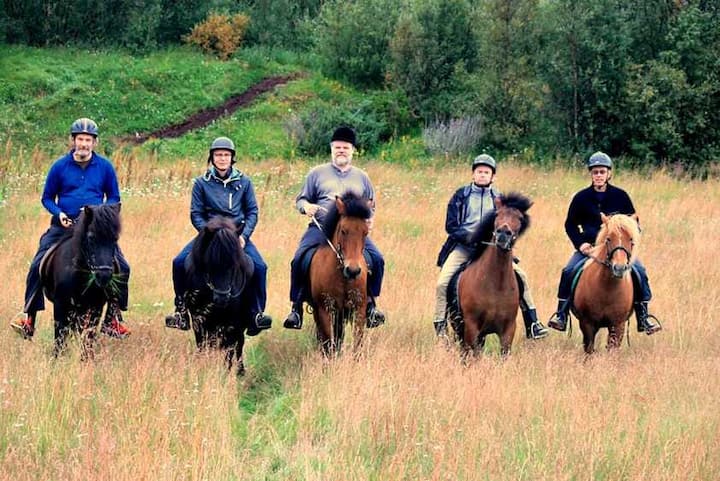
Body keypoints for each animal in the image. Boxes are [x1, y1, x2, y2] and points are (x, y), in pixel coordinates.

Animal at [41, 203, 123, 358]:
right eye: (91, 238)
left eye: (115, 238)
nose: (103, 276)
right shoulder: (60, 305)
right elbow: (60, 337)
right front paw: (57, 359)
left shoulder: (96, 307)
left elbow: (88, 339)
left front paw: (86, 359)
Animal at [183, 216, 254, 376]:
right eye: (210, 263)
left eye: (234, 264)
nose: (222, 299)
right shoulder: (198, 320)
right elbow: (202, 344)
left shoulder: (233, 323)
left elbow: (229, 350)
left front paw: (225, 373)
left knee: (238, 344)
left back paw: (240, 371)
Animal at [308, 192, 373, 356]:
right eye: (343, 230)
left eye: (365, 232)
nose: (353, 270)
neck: (342, 278)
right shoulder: (325, 310)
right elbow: (328, 344)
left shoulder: (359, 308)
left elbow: (357, 343)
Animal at [571, 213, 640, 354]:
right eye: (608, 239)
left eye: (631, 239)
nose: (619, 268)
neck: (607, 289)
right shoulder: (587, 323)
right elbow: (589, 349)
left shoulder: (618, 324)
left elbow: (612, 349)